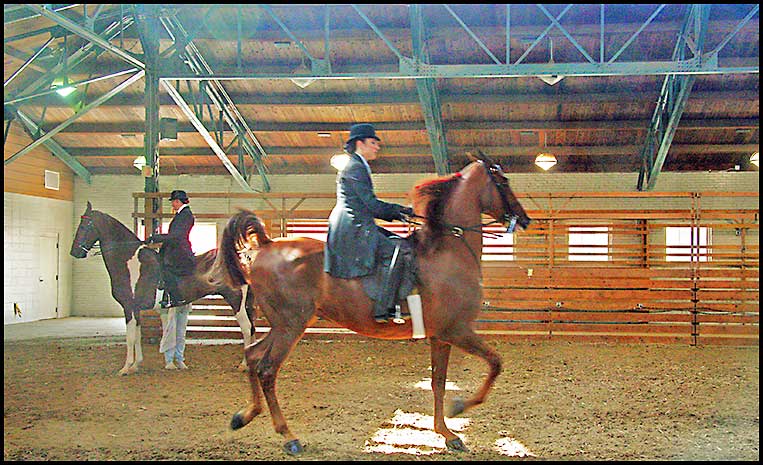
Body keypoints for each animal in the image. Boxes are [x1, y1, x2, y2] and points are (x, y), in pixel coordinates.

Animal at [71, 201, 258, 376]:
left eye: (84, 225)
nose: (74, 252)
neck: (130, 262)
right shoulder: (136, 309)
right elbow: (137, 335)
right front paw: (136, 365)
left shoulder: (128, 307)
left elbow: (130, 337)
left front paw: (125, 368)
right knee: (252, 329)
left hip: (236, 301)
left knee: (247, 329)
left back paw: (243, 365)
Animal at [209, 150, 532, 454]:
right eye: (503, 181)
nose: (525, 219)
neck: (449, 252)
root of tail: (266, 245)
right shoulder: (456, 330)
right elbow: (495, 363)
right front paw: (460, 407)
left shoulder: (440, 336)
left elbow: (438, 383)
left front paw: (446, 433)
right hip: (291, 326)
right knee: (267, 369)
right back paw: (288, 437)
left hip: (284, 325)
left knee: (252, 356)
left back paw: (244, 415)